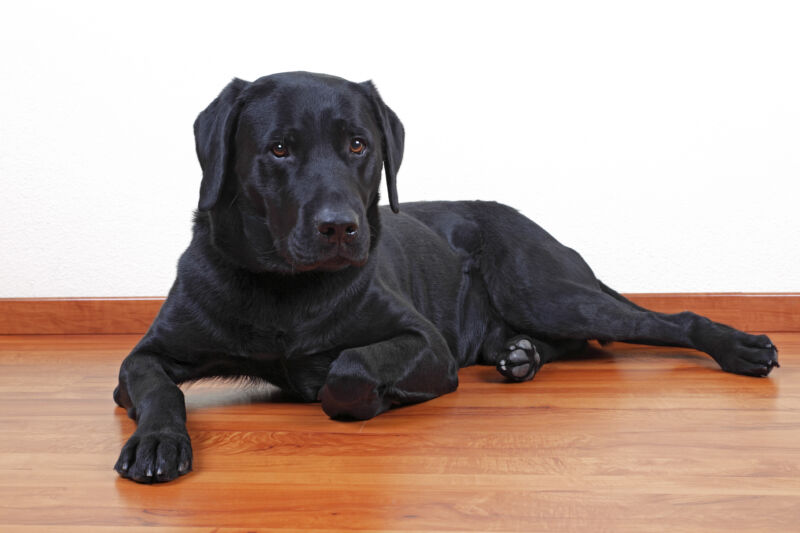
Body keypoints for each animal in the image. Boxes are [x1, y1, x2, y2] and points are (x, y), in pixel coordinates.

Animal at [115, 70, 780, 482]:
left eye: (358, 145)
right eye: (279, 148)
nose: (340, 227)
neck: (286, 290)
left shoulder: (423, 341)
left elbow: (351, 369)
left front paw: (361, 389)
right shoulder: (145, 357)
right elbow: (159, 389)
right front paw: (156, 442)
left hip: (546, 291)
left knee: (663, 320)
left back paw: (739, 346)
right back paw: (519, 355)